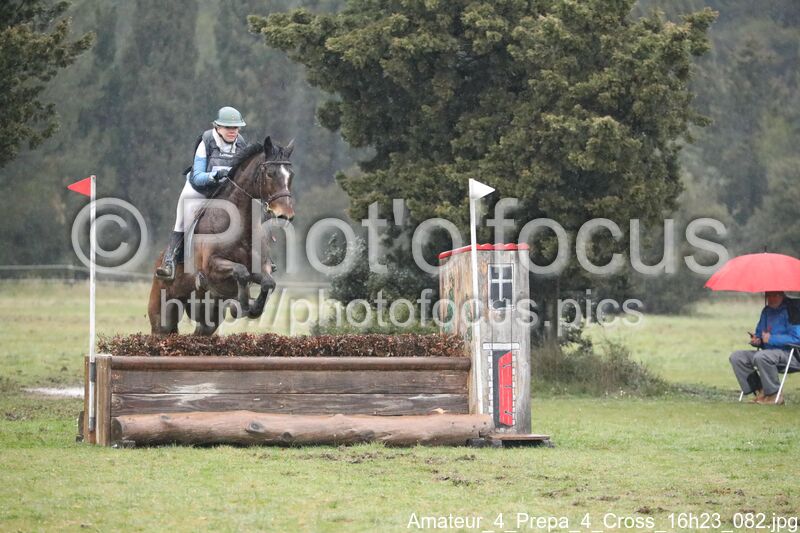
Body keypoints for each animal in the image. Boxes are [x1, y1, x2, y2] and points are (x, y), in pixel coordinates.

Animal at [148, 136, 295, 335]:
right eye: (270, 173)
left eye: (291, 175)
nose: (285, 215)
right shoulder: (212, 267)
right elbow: (241, 272)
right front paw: (242, 305)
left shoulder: (261, 267)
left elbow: (267, 282)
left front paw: (251, 307)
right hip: (162, 316)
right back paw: (167, 267)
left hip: (209, 318)